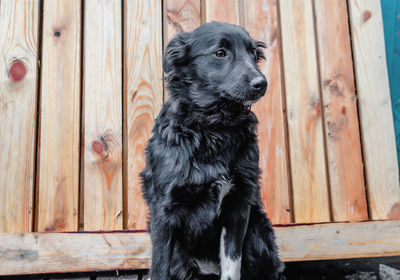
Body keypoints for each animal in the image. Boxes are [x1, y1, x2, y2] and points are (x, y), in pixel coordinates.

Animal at [141, 20, 284, 278]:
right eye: (220, 53)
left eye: (253, 54)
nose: (262, 84)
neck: (215, 126)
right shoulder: (164, 211)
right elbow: (159, 268)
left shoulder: (238, 207)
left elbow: (232, 265)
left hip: (259, 238)